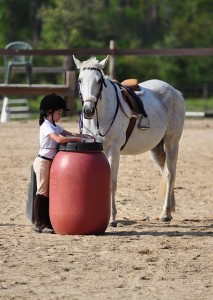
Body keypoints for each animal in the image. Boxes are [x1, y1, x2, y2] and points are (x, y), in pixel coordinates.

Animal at [73, 55, 185, 226]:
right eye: (80, 80)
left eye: (99, 81)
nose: (88, 110)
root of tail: (175, 92)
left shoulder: (113, 150)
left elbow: (111, 183)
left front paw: (111, 218)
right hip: (156, 148)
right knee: (166, 172)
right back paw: (170, 209)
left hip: (171, 142)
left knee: (170, 174)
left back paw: (165, 213)